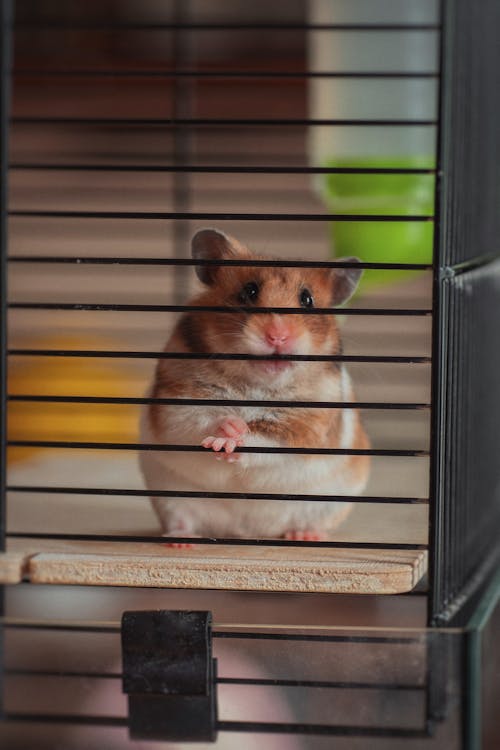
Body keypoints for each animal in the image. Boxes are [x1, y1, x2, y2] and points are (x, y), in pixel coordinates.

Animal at [139, 226, 370, 544]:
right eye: (249, 291)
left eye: (307, 299)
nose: (277, 336)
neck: (255, 385)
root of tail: (246, 532)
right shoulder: (177, 399)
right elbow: (198, 419)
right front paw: (227, 430)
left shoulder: (308, 423)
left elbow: (265, 439)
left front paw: (233, 439)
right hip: (171, 498)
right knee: (182, 520)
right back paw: (179, 541)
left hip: (330, 503)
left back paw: (305, 536)